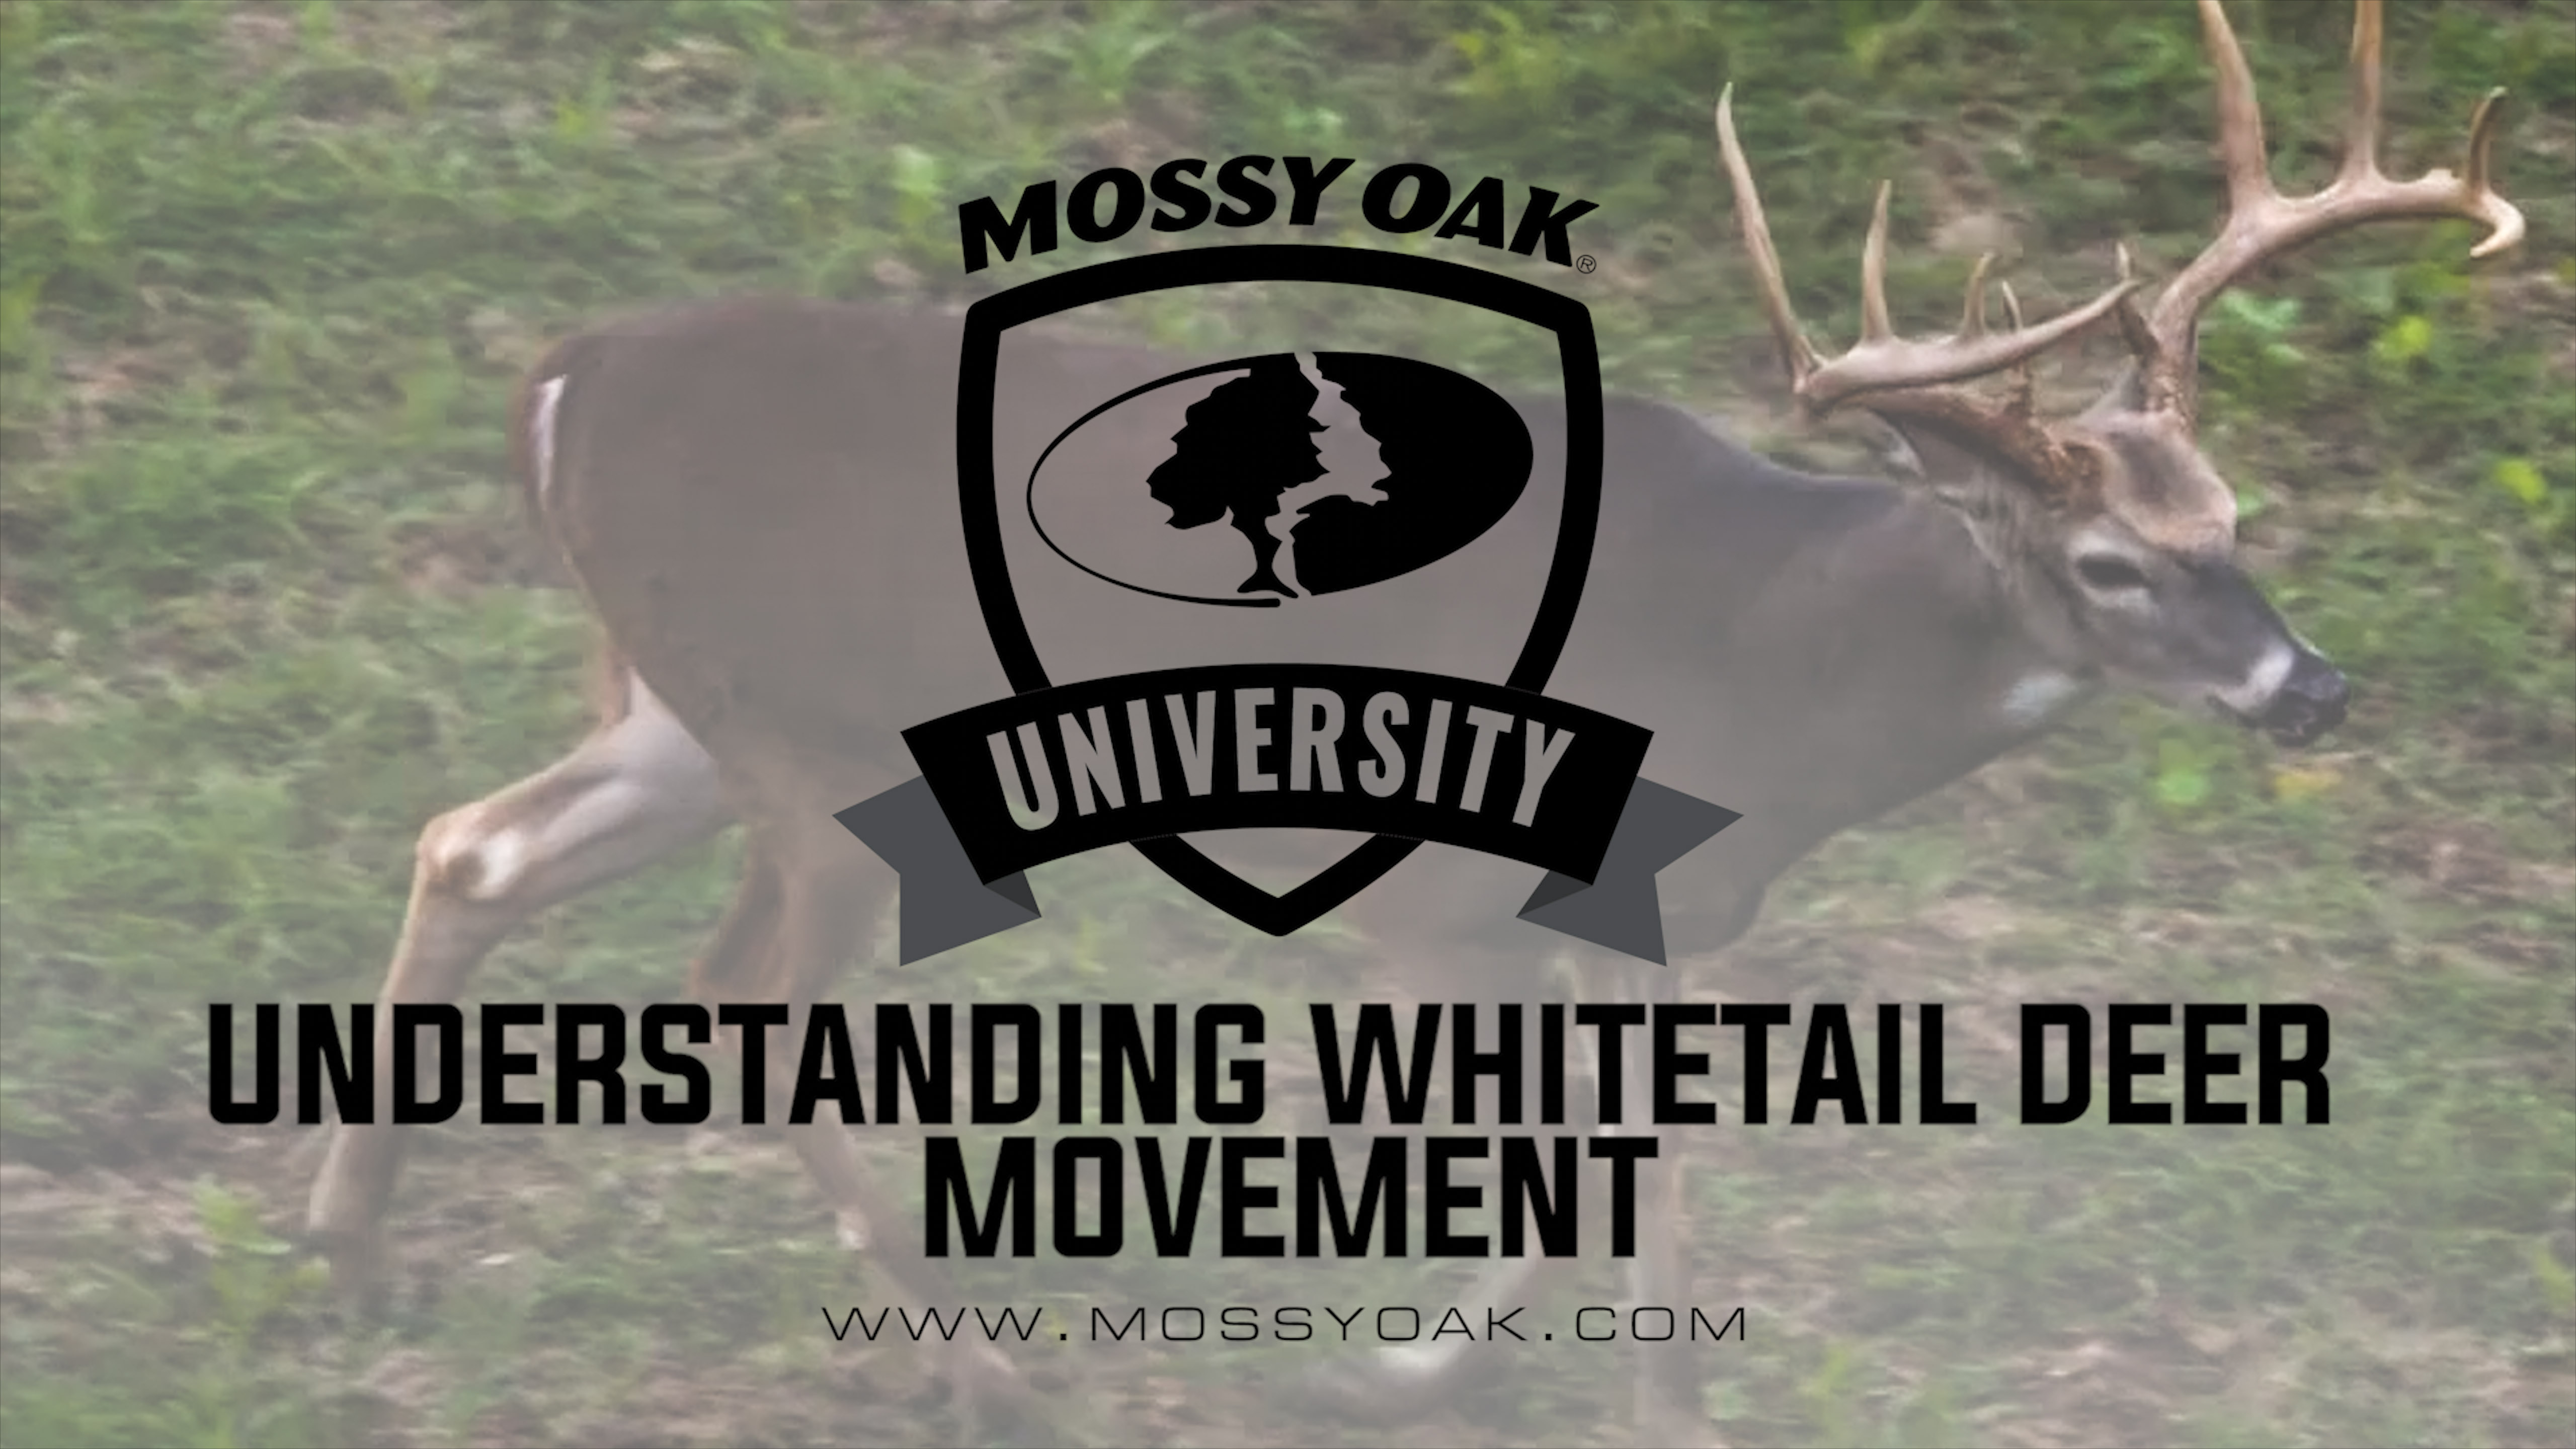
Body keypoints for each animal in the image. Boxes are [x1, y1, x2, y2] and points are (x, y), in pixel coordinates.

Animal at [300, 2, 2518, 1443]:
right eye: (2111, 567)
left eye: (2234, 519)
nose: (2306, 686)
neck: (1773, 668)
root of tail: (570, 375)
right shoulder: (1430, 905)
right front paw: (1395, 1361)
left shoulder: (1652, 930)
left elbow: (1647, 1161)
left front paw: (1633, 1377)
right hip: (806, 740)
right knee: (748, 996)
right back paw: (979, 1368)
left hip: (687, 710)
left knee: (471, 841)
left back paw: (347, 1245)